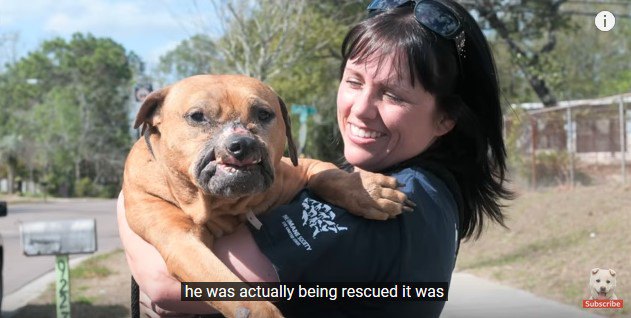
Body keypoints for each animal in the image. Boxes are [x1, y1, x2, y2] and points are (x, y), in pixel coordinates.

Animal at [123, 75, 412, 318]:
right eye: (197, 116)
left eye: (263, 114)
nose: (242, 144)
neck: (226, 205)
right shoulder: (181, 242)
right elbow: (238, 295)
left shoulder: (299, 168)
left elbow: (325, 175)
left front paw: (368, 190)